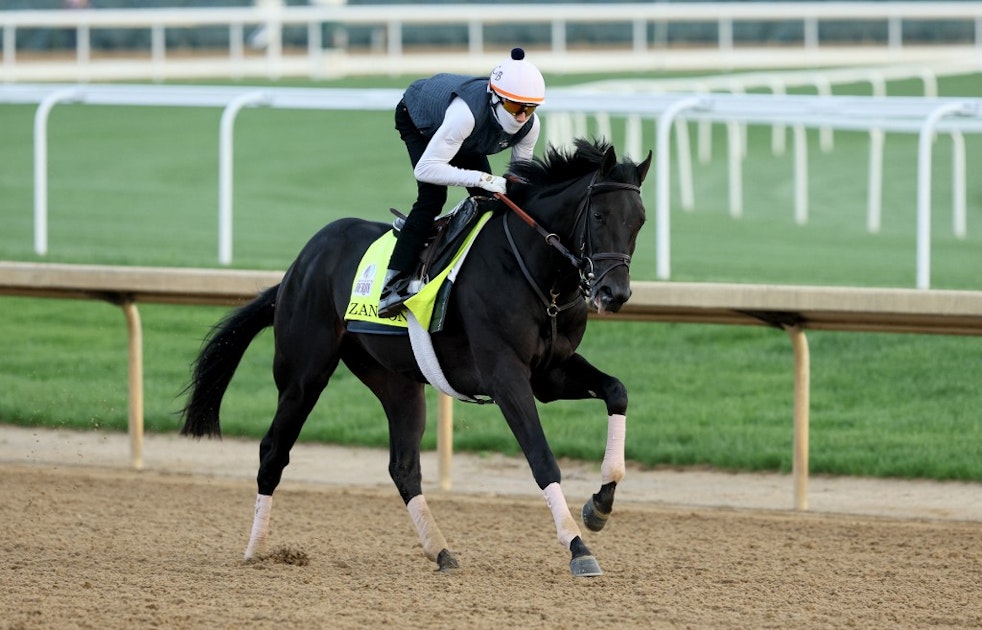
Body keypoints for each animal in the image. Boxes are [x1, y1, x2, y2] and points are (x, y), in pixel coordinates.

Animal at [181, 138, 652, 576]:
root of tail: (297, 267)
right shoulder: (505, 375)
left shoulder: (549, 373)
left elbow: (618, 391)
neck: (537, 275)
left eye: (640, 220)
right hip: (303, 374)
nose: (614, 293)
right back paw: (256, 549)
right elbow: (541, 458)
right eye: (598, 216)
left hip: (396, 380)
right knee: (273, 451)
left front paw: (600, 504)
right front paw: (578, 546)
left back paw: (440, 550)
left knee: (403, 467)